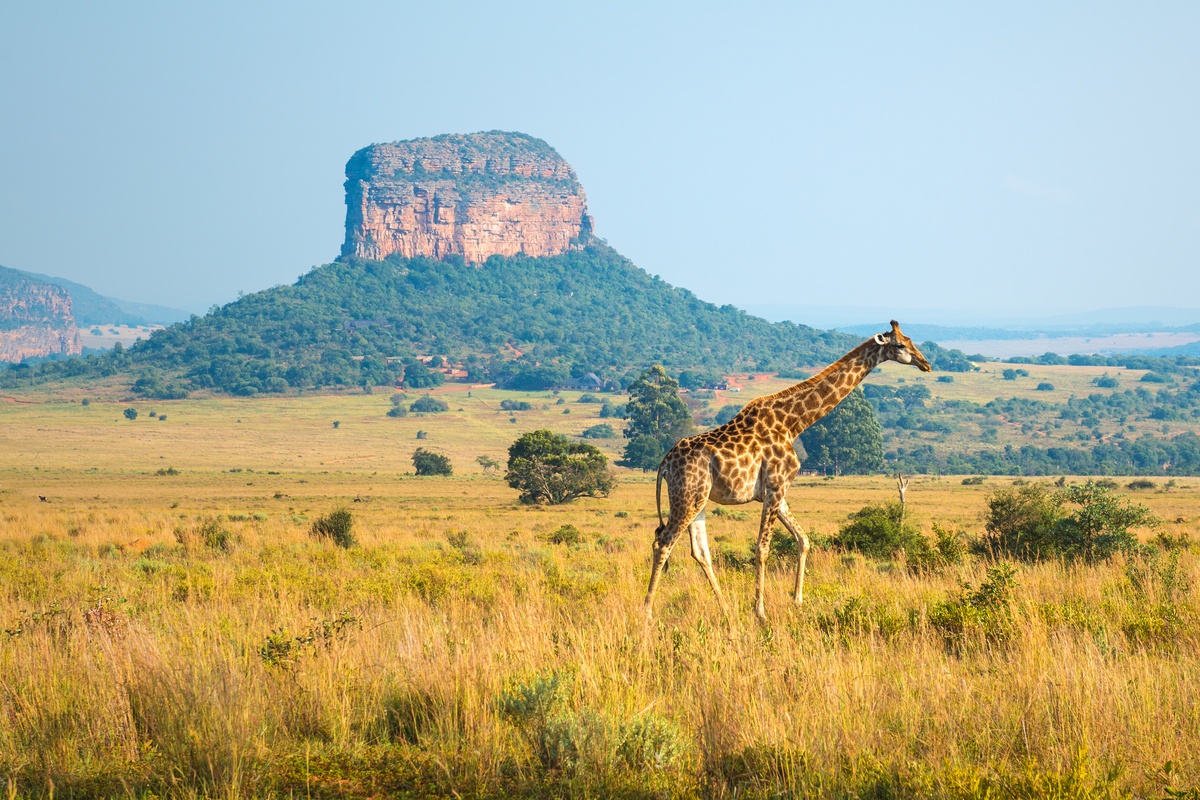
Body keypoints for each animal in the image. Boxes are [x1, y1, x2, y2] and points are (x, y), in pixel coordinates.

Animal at [643, 321, 931, 623]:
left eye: (911, 340)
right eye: (899, 345)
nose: (925, 363)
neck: (793, 424)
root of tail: (665, 463)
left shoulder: (777, 491)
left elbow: (803, 539)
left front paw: (797, 600)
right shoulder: (776, 486)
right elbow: (762, 548)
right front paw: (760, 611)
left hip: (699, 499)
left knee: (700, 551)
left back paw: (726, 609)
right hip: (688, 496)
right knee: (663, 543)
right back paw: (647, 612)